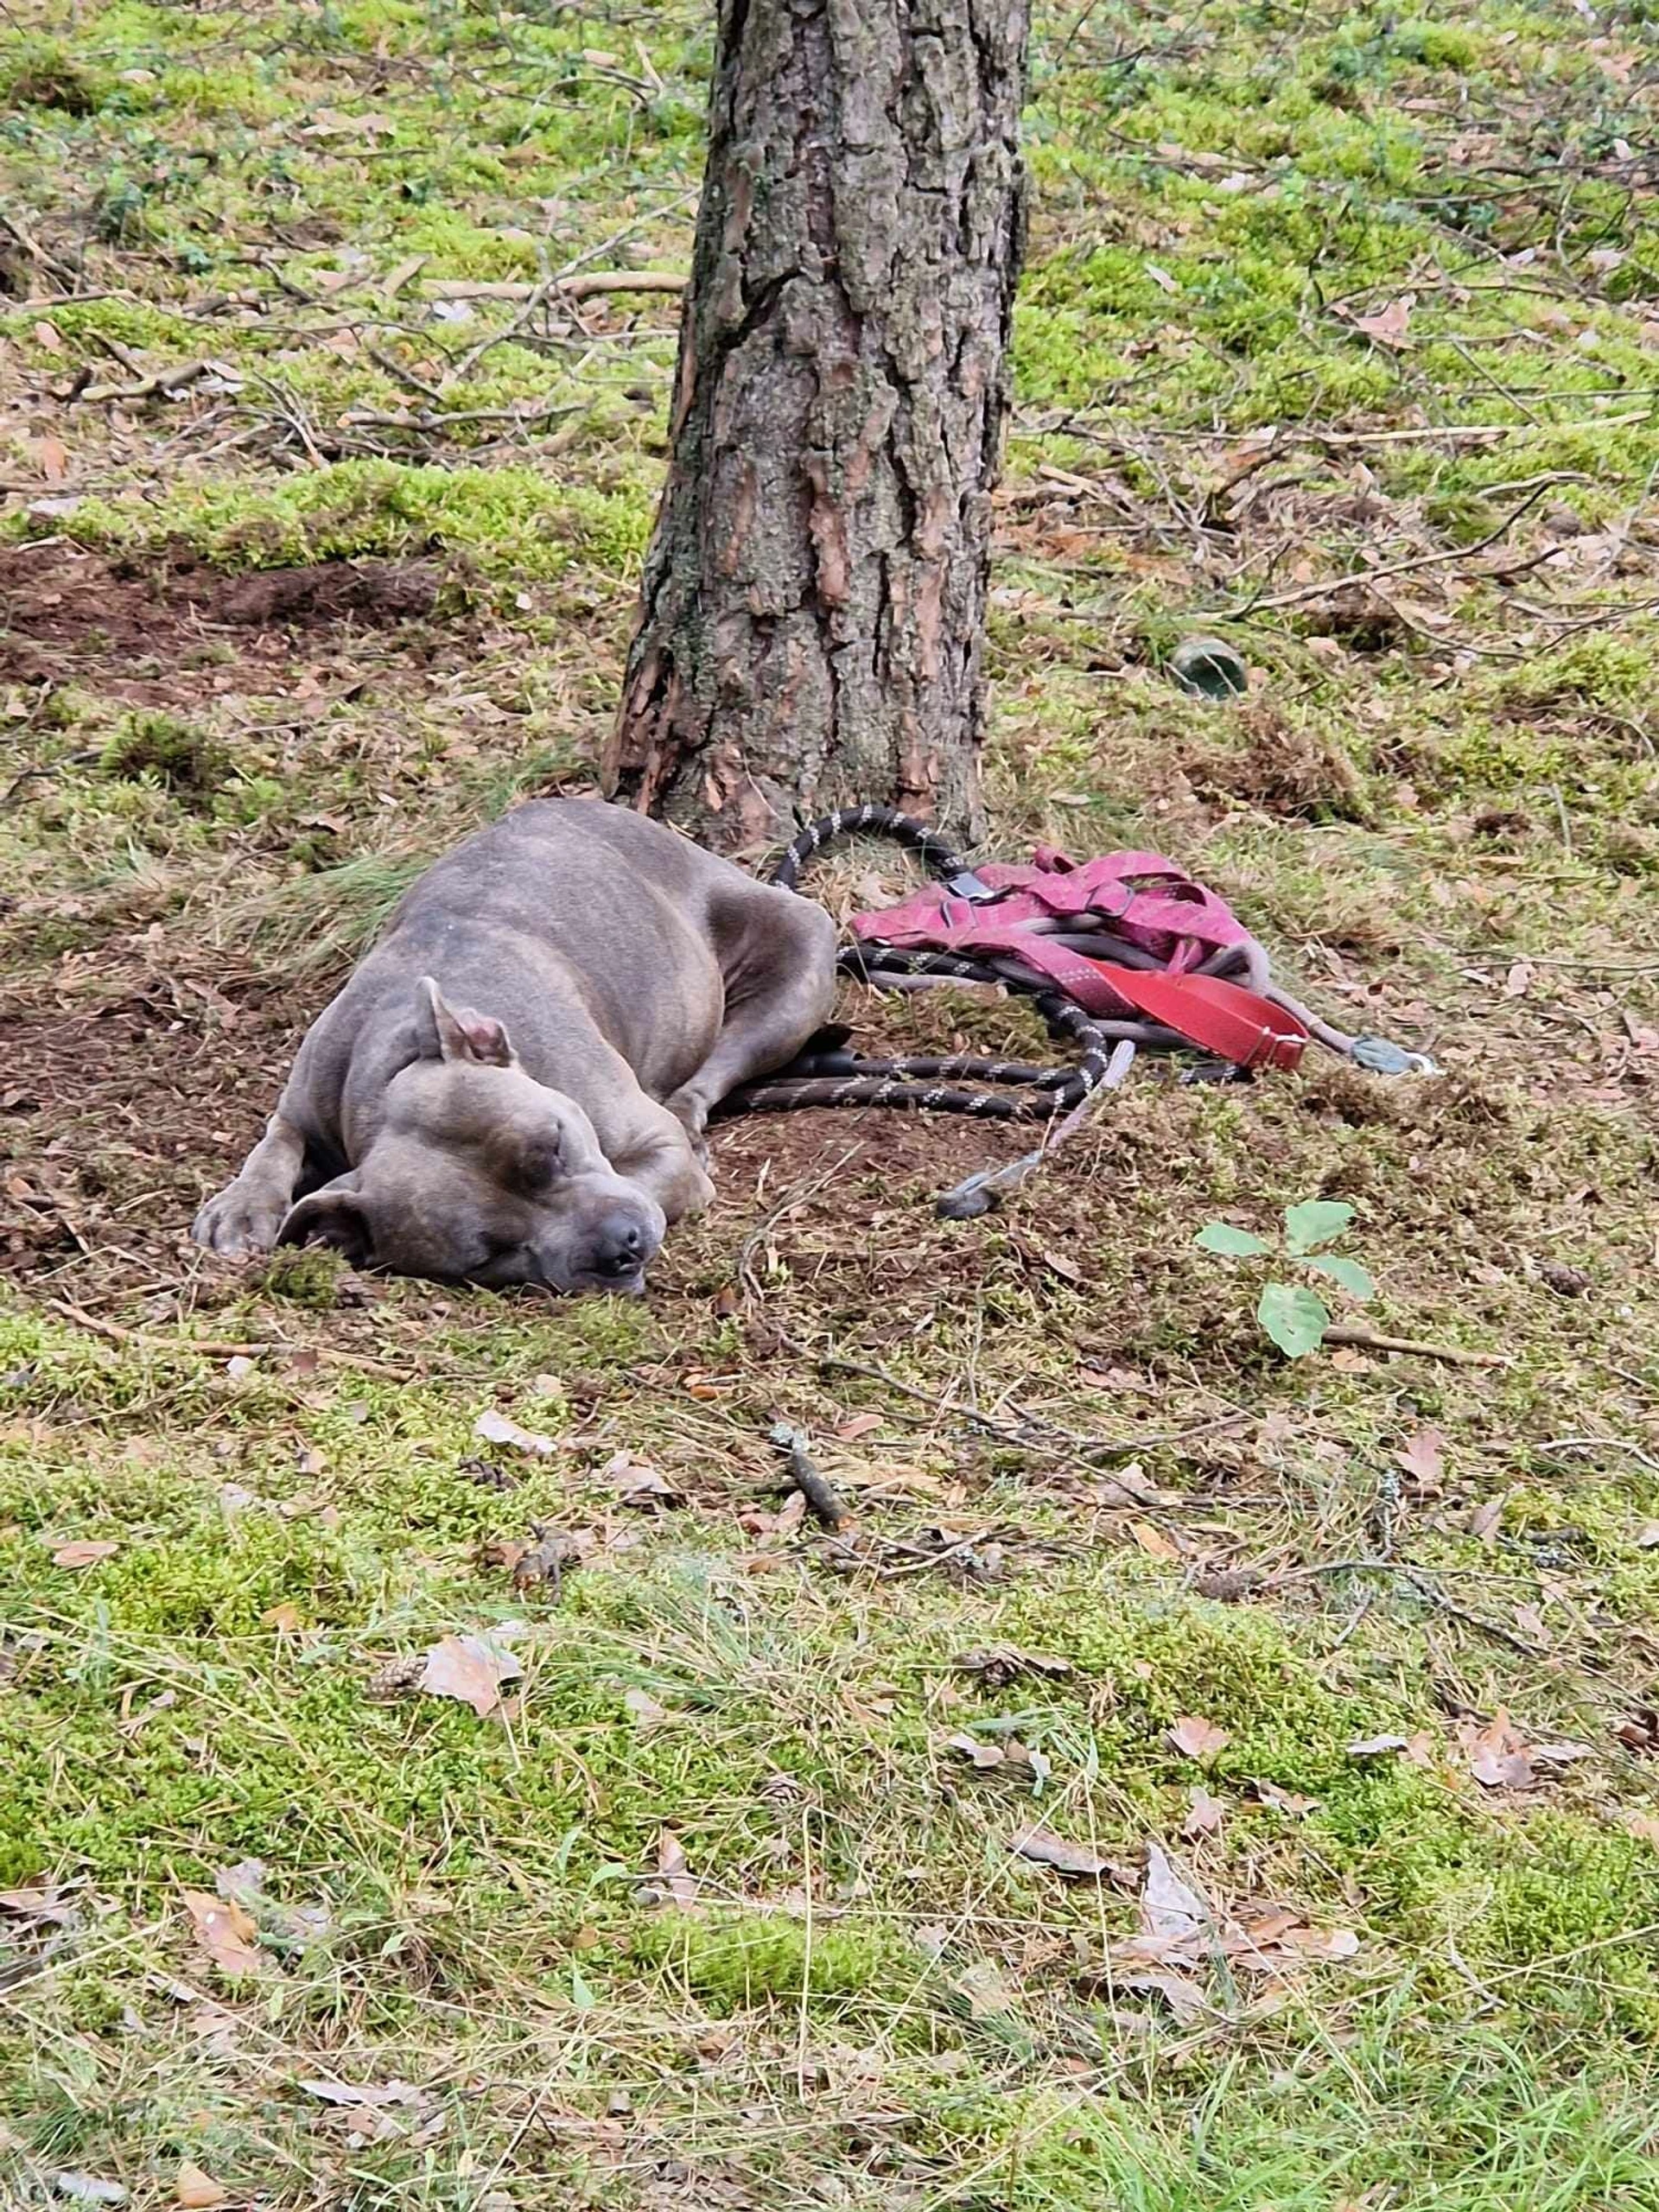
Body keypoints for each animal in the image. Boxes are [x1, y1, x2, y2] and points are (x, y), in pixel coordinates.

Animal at [194, 800, 836, 1292]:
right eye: (491, 1253)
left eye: (553, 1146)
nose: (619, 1247)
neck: (389, 1067)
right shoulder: (302, 1105)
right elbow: (273, 1146)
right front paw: (241, 1207)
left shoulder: (652, 1146)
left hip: (797, 952)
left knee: (707, 1078)